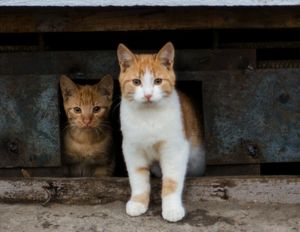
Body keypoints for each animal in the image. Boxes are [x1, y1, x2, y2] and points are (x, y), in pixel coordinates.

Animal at [116, 42, 205, 223]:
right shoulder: (132, 149)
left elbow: (172, 180)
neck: (149, 116)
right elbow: (137, 178)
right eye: (136, 82)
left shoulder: (175, 149)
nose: (148, 95)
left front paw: (172, 208)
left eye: (158, 81)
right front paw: (138, 202)